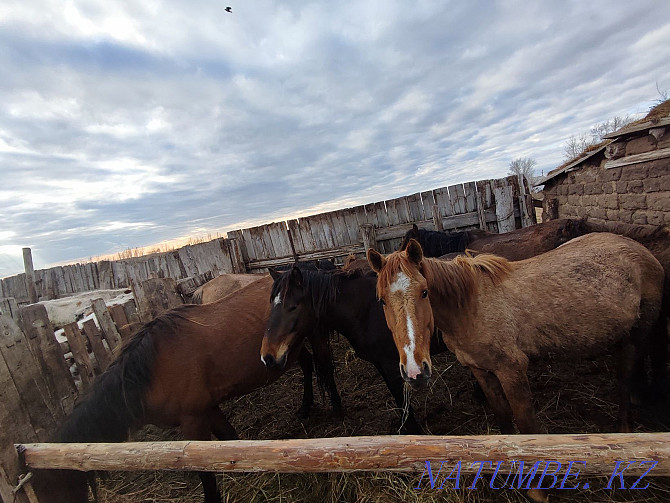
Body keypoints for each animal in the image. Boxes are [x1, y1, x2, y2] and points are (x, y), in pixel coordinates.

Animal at [42, 278, 320, 502]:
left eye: (56, 488)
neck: (151, 372)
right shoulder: (208, 408)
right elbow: (230, 440)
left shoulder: (193, 421)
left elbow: (204, 471)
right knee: (308, 364)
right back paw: (305, 407)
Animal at [260, 264, 448, 434]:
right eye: (271, 305)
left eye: (293, 307)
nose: (267, 356)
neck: (366, 309)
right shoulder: (382, 364)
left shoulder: (392, 365)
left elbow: (403, 401)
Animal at [370, 233, 668, 438]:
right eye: (382, 301)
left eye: (424, 292)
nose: (414, 371)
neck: (471, 306)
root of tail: (643, 251)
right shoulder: (480, 370)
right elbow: (502, 416)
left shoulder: (512, 369)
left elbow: (527, 426)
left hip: (638, 333)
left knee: (625, 377)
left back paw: (625, 427)